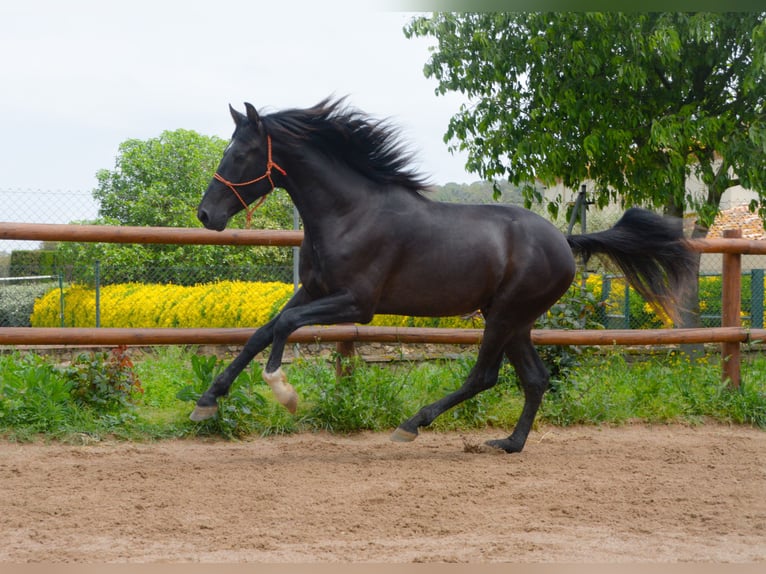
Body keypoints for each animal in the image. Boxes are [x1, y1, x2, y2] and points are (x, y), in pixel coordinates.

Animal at [191, 98, 695, 453]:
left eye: (242, 153)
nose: (206, 214)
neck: (350, 213)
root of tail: (564, 241)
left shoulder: (357, 302)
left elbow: (284, 326)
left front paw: (284, 392)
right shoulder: (315, 290)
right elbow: (264, 329)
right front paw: (207, 401)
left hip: (505, 315)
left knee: (484, 376)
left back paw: (411, 425)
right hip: (515, 319)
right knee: (534, 379)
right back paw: (508, 444)